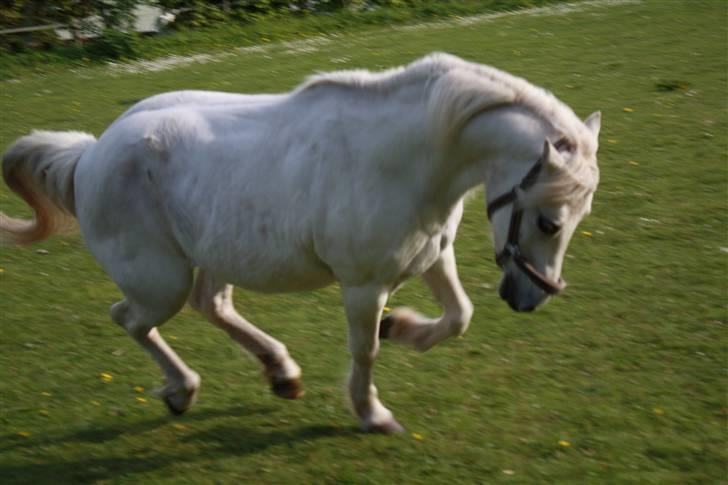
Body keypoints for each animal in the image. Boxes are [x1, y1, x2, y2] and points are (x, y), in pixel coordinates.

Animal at [0, 53, 600, 433]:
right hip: (158, 280)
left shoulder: (432, 256)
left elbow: (459, 316)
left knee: (210, 304)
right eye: (549, 223)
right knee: (130, 318)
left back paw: (281, 374)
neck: (405, 161)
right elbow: (366, 349)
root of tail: (90, 154)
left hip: (214, 254)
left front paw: (403, 328)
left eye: (580, 217)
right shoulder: (362, 286)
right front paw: (372, 414)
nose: (531, 297)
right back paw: (182, 389)